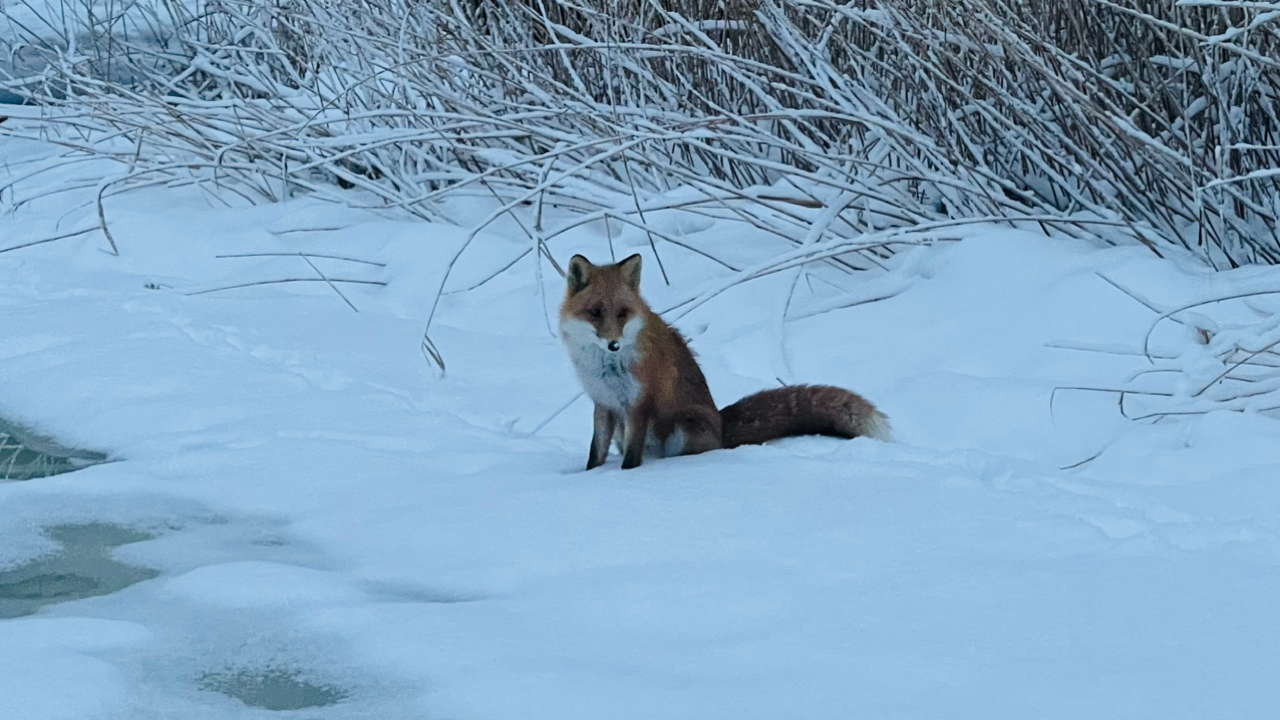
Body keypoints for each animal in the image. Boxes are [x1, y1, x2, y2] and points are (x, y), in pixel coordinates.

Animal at [560, 253, 890, 471]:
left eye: (622, 313)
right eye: (595, 313)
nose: (613, 345)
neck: (607, 369)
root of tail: (721, 427)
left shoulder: (638, 405)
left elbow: (631, 460)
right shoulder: (604, 404)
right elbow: (595, 455)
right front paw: (590, 477)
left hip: (682, 428)